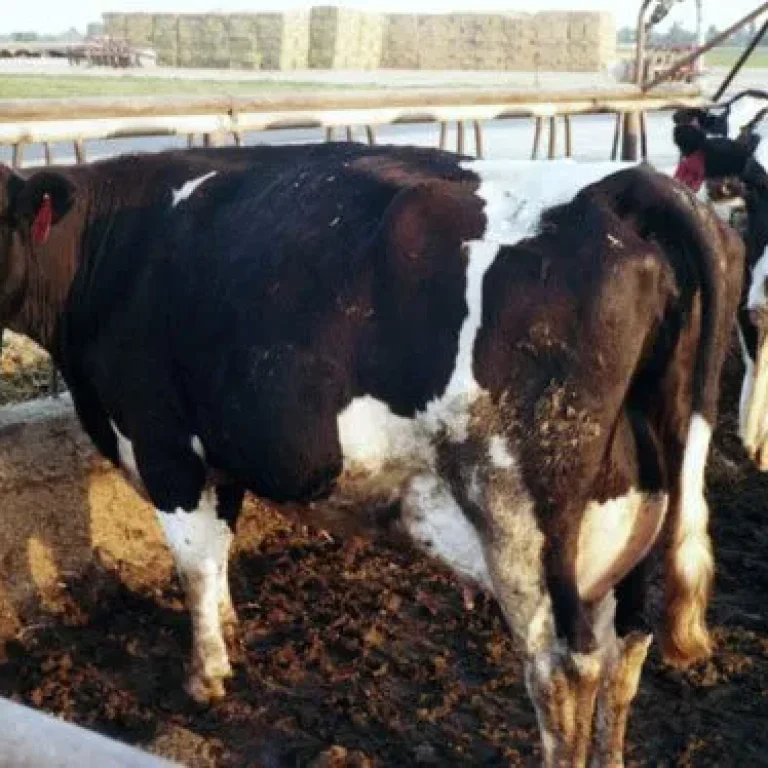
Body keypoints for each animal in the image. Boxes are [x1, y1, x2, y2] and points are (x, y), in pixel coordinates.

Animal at [0, 144, 743, 766]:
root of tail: (617, 189)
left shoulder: (164, 444)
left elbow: (191, 564)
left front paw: (205, 674)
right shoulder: (222, 447)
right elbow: (219, 550)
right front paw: (232, 633)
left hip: (519, 506)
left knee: (564, 667)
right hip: (636, 505)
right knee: (628, 646)